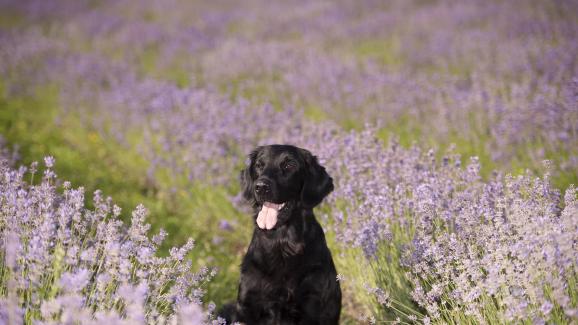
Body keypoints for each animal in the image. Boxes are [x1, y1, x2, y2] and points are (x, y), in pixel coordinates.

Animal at [219, 145, 338, 324]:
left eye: (289, 165)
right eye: (259, 165)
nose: (261, 187)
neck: (281, 243)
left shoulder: (311, 304)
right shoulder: (247, 304)